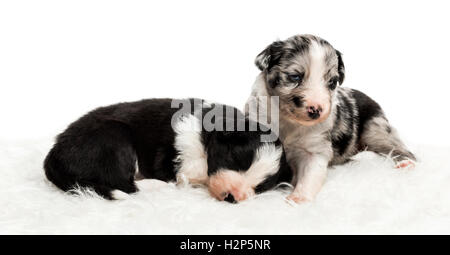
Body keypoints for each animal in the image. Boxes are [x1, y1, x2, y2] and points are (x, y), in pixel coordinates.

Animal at [44, 98, 292, 202]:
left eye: (260, 187)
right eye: (233, 161)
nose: (233, 198)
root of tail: (54, 154)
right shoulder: (175, 149)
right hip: (114, 136)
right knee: (123, 184)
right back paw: (159, 186)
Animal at [246, 33, 414, 203]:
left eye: (332, 82)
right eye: (295, 77)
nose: (316, 109)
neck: (288, 121)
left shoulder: (315, 148)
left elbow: (309, 175)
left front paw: (298, 199)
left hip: (376, 130)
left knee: (399, 148)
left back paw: (406, 163)